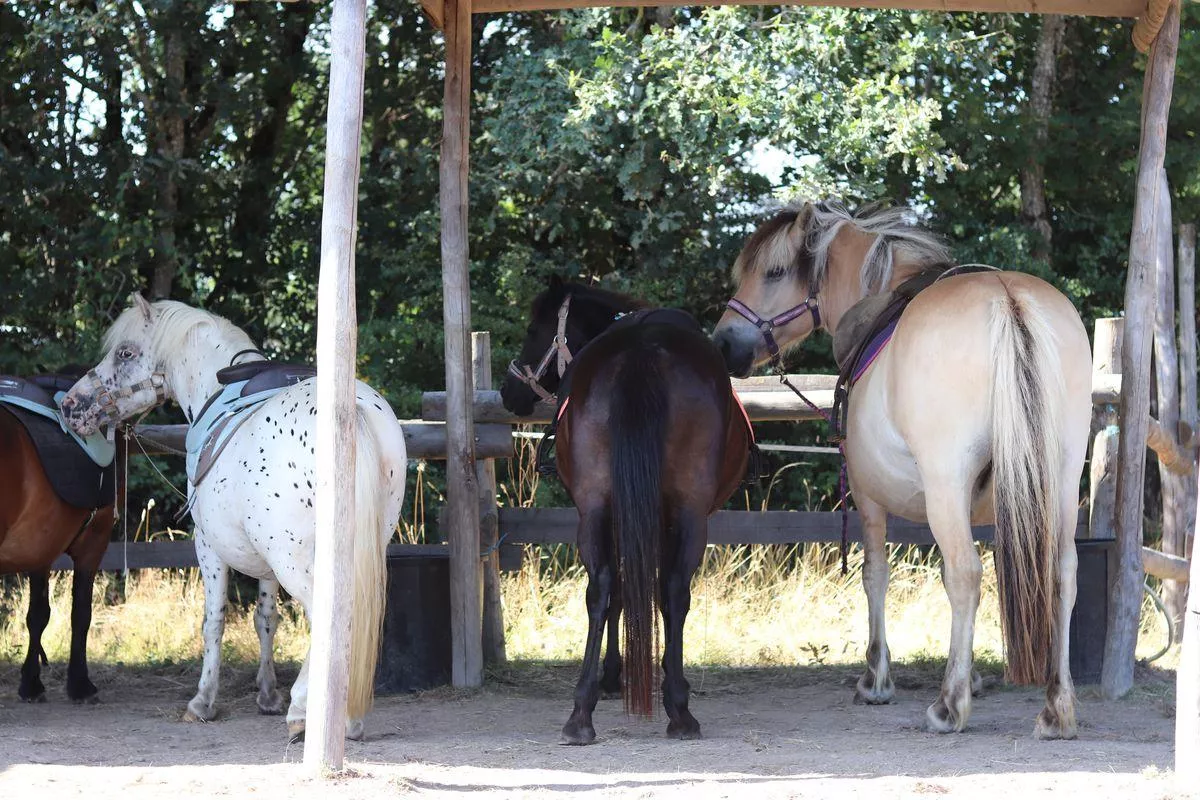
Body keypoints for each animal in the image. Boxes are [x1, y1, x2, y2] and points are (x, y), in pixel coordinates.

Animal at [57, 296, 408, 743]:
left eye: (126, 353)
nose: (70, 405)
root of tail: (353, 410)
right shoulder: (266, 563)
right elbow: (266, 619)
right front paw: (267, 695)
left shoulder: (209, 547)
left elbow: (213, 621)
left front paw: (203, 701)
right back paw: (340, 717)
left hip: (294, 559)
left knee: (325, 616)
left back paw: (305, 709)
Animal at [496, 277, 748, 743]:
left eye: (533, 330)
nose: (509, 390)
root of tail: (641, 349)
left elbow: (617, 591)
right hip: (686, 514)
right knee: (670, 590)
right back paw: (677, 708)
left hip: (601, 509)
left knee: (603, 588)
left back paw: (582, 713)